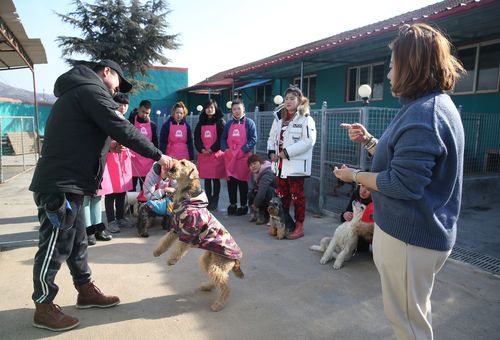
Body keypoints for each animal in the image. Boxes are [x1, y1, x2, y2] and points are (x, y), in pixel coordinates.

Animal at [153, 159, 245, 310]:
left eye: (183, 163)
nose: (171, 161)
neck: (186, 198)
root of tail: (236, 259)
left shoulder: (188, 232)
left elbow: (178, 249)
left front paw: (171, 261)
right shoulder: (175, 229)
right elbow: (165, 241)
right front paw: (156, 252)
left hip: (218, 265)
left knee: (225, 286)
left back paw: (218, 305)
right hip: (208, 260)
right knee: (216, 280)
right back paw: (207, 286)